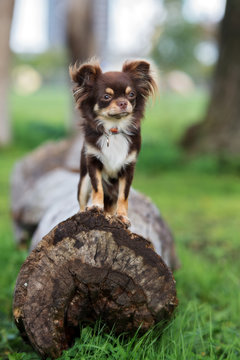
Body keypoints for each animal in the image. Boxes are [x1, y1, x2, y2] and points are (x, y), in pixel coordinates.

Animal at [69, 59, 158, 225]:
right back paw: (84, 212)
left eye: (131, 94)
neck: (114, 130)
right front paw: (96, 206)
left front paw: (122, 216)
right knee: (82, 202)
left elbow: (124, 195)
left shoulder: (128, 168)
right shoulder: (93, 161)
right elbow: (97, 187)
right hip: (83, 182)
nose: (123, 102)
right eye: (106, 96)